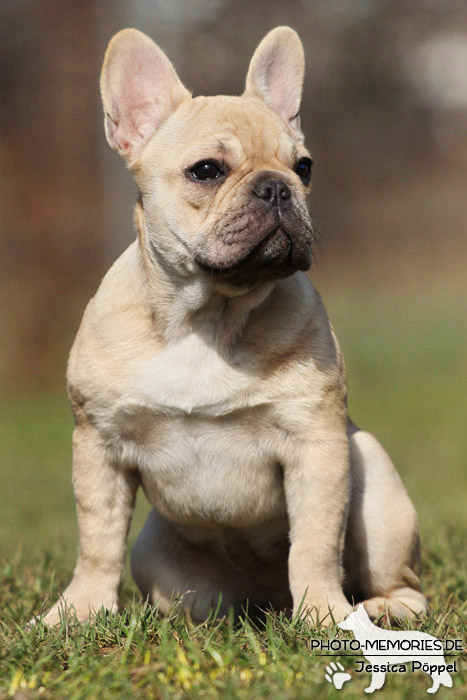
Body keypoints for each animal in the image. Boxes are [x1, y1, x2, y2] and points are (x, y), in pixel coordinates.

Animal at [38, 27, 428, 628]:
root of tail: (266, 603)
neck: (207, 317)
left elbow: (315, 541)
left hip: (377, 484)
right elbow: (97, 538)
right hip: (158, 556)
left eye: (305, 167)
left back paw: (377, 610)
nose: (276, 187)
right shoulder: (98, 444)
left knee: (398, 580)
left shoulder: (316, 446)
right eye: (207, 171)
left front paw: (324, 614)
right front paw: (77, 613)